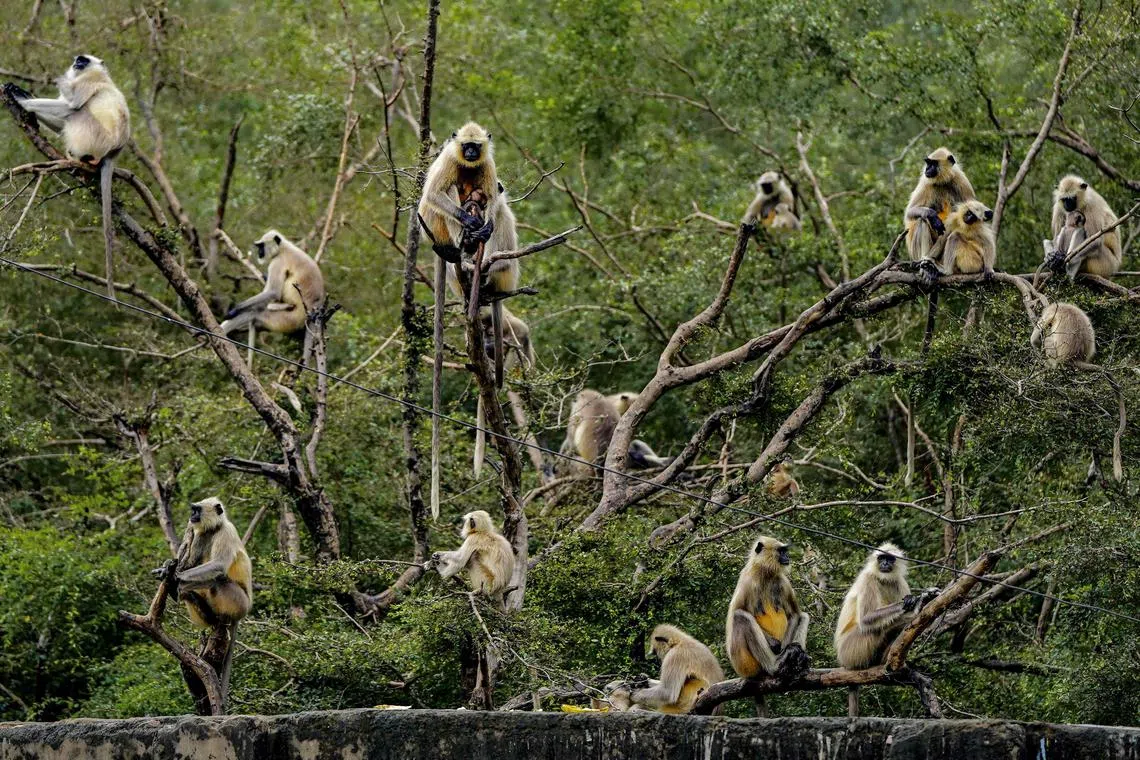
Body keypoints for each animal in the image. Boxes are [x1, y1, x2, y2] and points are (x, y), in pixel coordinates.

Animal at [7, 55, 130, 300]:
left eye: (83, 62)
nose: (76, 64)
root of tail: (113, 152)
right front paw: (19, 92)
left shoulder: (89, 80)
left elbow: (71, 104)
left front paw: (22, 99)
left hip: (93, 136)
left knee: (74, 112)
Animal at [155, 497, 253, 630]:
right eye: (193, 509)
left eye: (197, 510)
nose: (192, 515)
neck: (215, 529)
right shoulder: (202, 534)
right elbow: (190, 564)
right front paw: (166, 566)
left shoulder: (227, 531)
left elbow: (219, 565)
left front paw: (176, 576)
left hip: (240, 603)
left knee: (218, 579)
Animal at [726, 536, 811, 691]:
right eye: (781, 551)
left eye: (785, 551)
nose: (787, 557)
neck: (766, 574)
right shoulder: (747, 580)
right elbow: (735, 613)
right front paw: (777, 647)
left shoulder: (783, 582)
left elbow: (794, 614)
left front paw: (788, 652)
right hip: (744, 663)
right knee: (740, 616)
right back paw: (775, 666)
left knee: (803, 616)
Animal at [834, 544, 934, 717]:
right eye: (882, 558)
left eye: (890, 559)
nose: (885, 564)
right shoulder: (868, 578)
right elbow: (866, 618)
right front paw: (919, 601)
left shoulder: (899, 582)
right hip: (850, 651)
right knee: (877, 628)